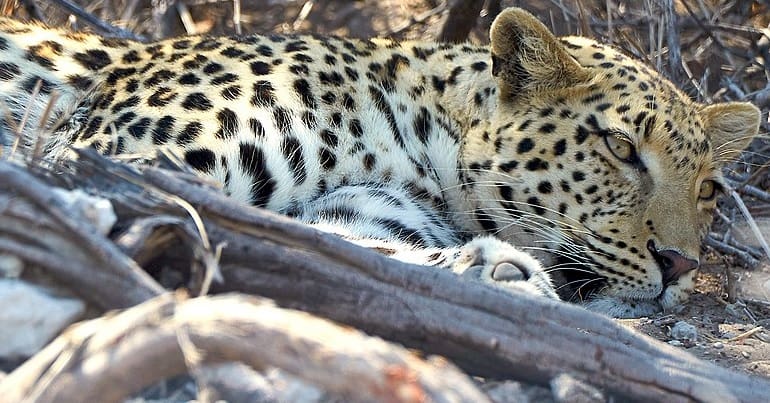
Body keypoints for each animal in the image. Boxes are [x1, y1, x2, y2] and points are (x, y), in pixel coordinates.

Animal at [0, 7, 756, 318]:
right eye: (620, 148)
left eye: (709, 191)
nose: (680, 265)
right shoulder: (123, 155)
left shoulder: (361, 214)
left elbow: (338, 253)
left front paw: (498, 272)